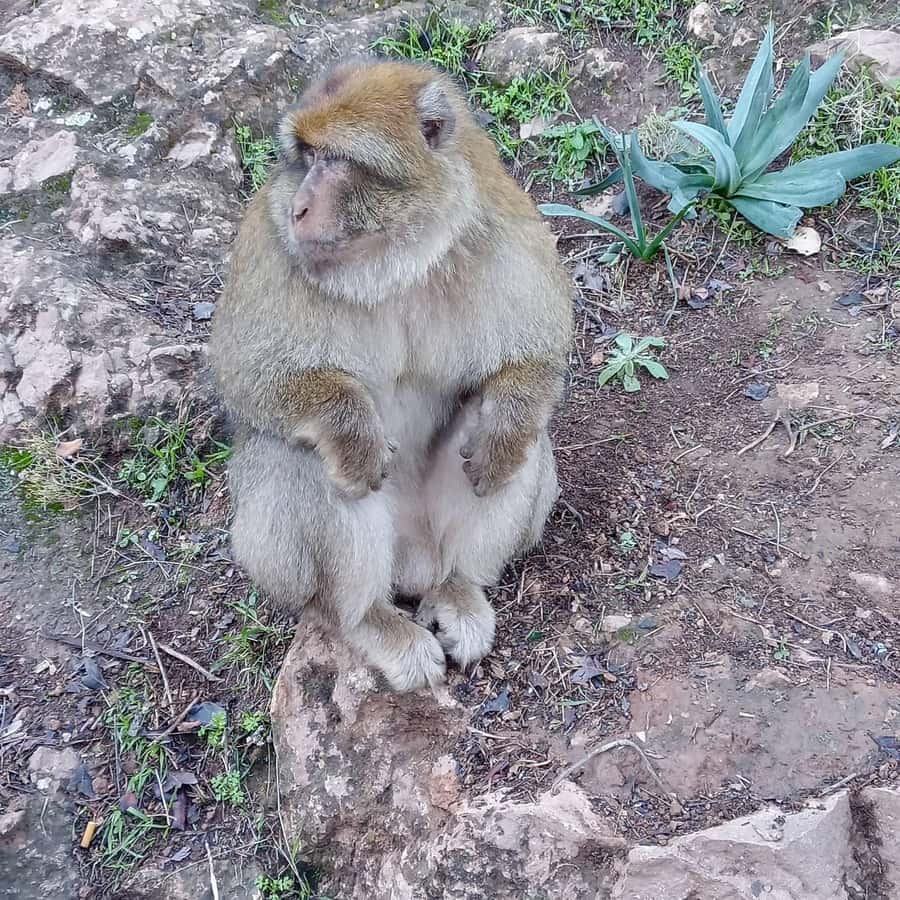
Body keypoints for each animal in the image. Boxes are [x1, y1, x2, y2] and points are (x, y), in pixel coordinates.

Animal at [209, 59, 572, 692]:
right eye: (306, 155)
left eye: (336, 159)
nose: (300, 206)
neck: (395, 253)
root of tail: (416, 563)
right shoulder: (269, 243)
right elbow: (246, 374)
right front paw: (349, 428)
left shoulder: (499, 222)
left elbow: (539, 351)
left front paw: (506, 424)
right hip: (277, 559)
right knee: (305, 458)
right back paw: (370, 621)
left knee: (511, 436)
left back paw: (460, 587)